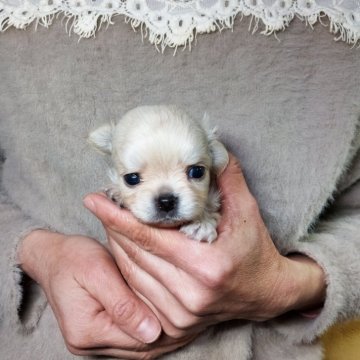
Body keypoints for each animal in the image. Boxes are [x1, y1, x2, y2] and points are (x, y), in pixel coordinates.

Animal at [84, 155, 326, 340]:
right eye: (133, 178)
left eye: (196, 173)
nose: (166, 201)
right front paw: (117, 193)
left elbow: (209, 212)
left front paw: (200, 224)